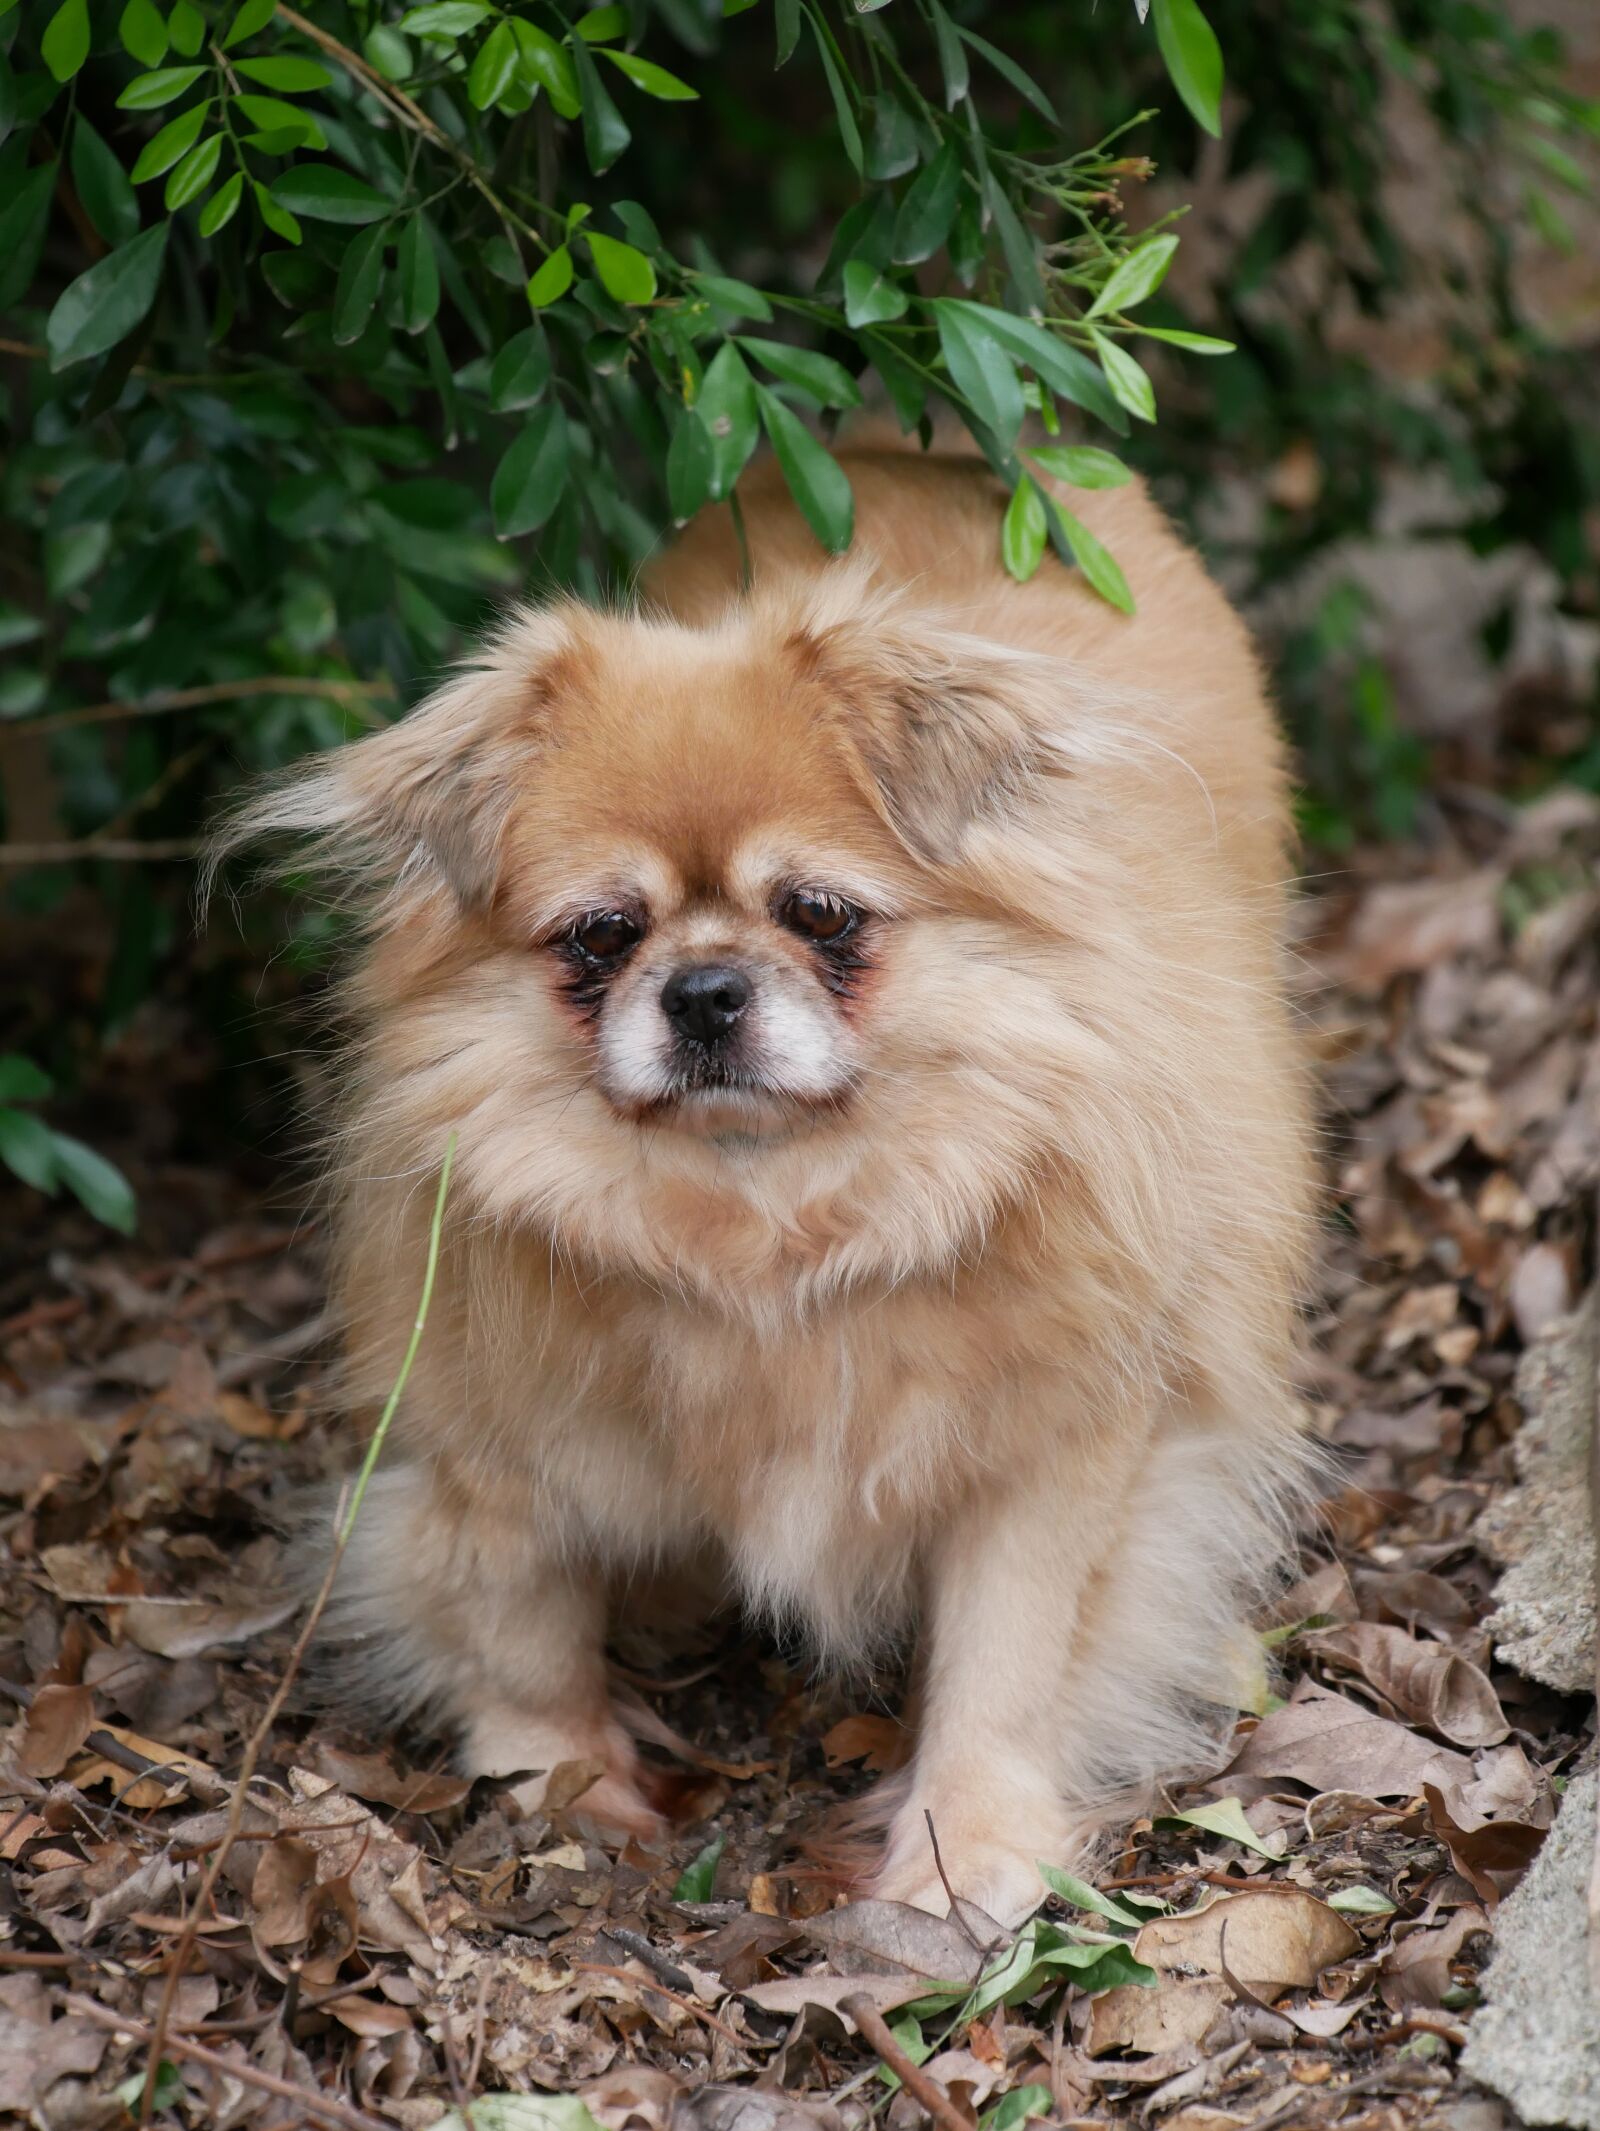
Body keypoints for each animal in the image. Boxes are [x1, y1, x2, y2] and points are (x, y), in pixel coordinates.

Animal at [231, 441, 1320, 1926]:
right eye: (599, 936)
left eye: (819, 915)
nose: (702, 987)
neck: (765, 1221)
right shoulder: (498, 1451)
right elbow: (521, 1630)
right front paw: (564, 1792)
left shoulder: (1051, 1464)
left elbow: (1004, 1664)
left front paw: (965, 1850)